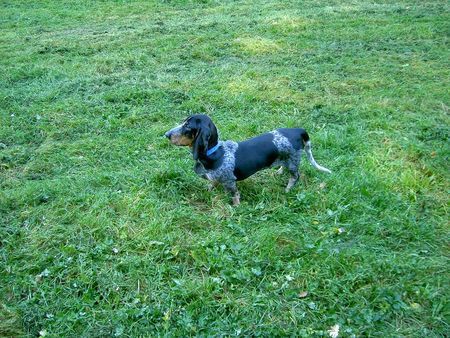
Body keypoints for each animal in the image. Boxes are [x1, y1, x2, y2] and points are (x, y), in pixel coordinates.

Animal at [165, 115, 330, 205]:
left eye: (187, 126)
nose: (166, 134)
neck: (216, 152)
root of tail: (297, 130)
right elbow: (212, 183)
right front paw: (209, 190)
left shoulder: (230, 182)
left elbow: (234, 195)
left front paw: (236, 207)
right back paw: (278, 171)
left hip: (294, 162)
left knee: (295, 177)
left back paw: (288, 189)